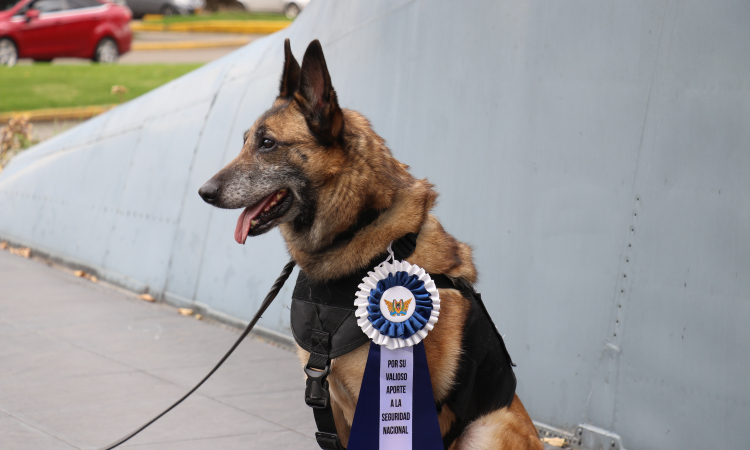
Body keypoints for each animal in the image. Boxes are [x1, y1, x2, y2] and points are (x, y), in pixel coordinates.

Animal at [198, 39, 540, 450]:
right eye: (246, 141)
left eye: (267, 143)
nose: (204, 192)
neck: (358, 230)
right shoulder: (335, 408)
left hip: (488, 427)